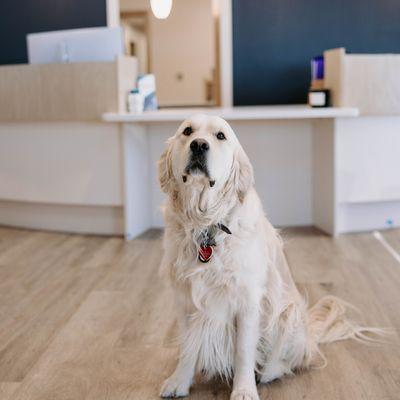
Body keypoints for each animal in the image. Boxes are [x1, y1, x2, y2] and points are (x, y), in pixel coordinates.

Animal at [157, 114, 382, 398]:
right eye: (187, 131)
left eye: (220, 136)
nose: (198, 145)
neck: (206, 224)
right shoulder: (185, 299)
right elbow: (187, 348)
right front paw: (179, 381)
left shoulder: (248, 301)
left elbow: (243, 352)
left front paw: (243, 390)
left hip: (288, 314)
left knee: (291, 360)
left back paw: (269, 371)